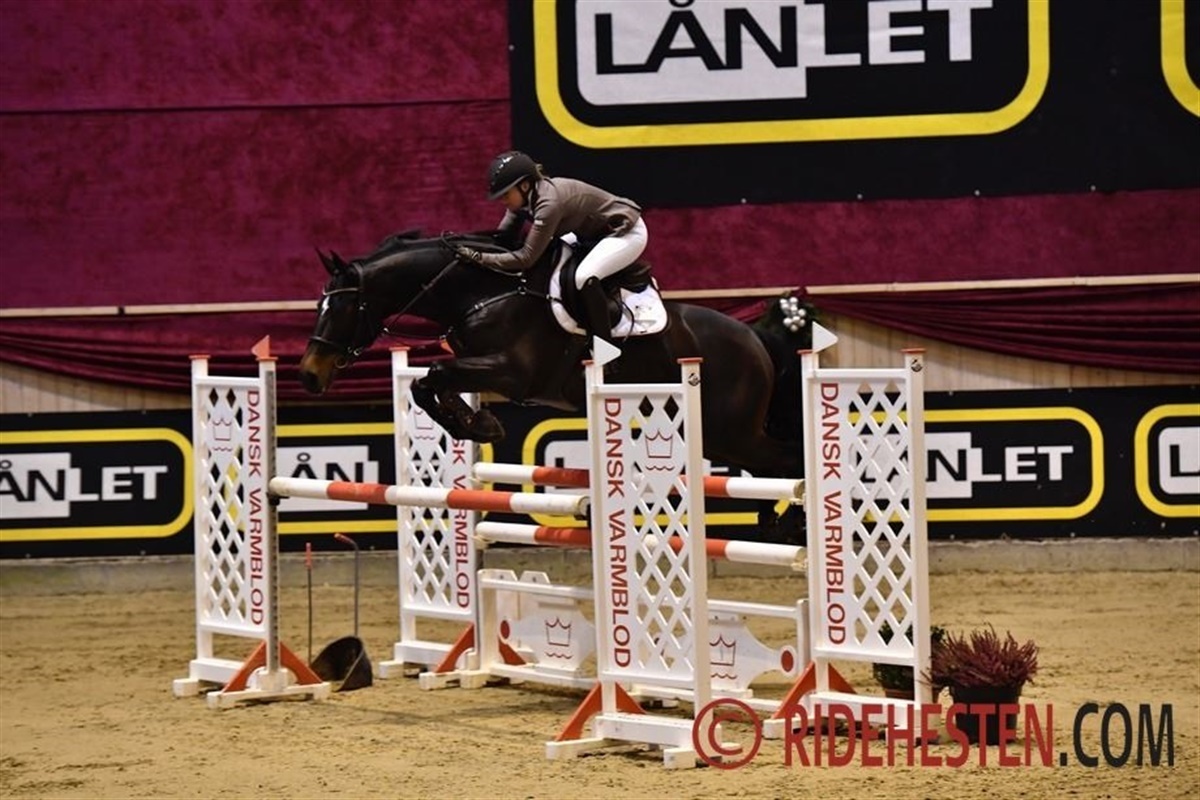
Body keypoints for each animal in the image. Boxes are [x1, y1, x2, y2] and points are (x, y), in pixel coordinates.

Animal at [298, 230, 805, 537]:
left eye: (340, 307)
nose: (308, 374)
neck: (480, 293)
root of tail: (755, 338)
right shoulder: (480, 365)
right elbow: (429, 383)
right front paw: (474, 421)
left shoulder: (512, 371)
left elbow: (435, 375)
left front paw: (479, 424)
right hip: (724, 437)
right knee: (770, 468)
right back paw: (772, 521)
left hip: (731, 432)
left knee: (787, 460)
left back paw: (792, 522)